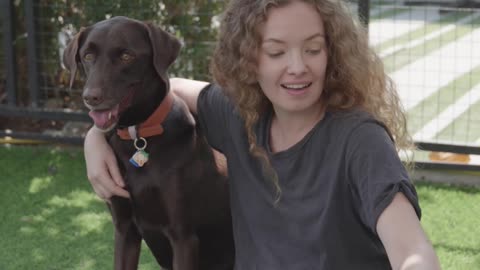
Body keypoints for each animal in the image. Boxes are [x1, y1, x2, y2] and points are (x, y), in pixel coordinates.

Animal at [62, 16, 235, 270]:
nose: (90, 98)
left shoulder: (183, 236)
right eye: (88, 56)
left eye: (126, 56)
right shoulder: (124, 229)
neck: (138, 136)